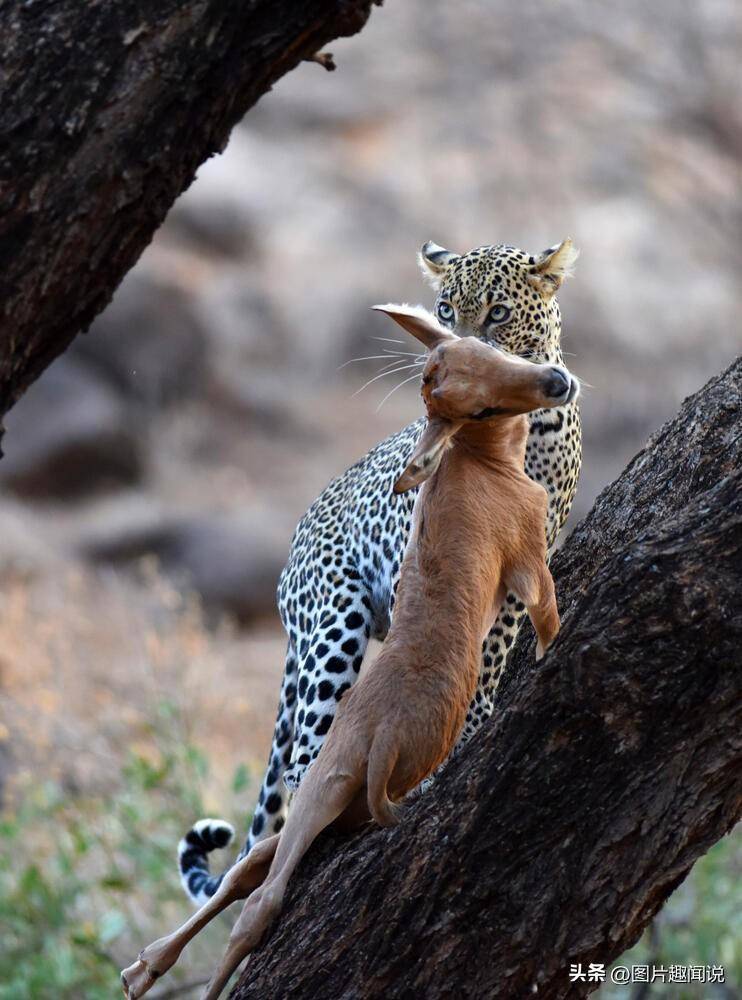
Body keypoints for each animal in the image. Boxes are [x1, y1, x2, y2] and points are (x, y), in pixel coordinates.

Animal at [179, 238, 580, 904]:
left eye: (497, 313)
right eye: (445, 309)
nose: (449, 347)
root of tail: (289, 561)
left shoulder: (528, 554)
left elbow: (495, 640)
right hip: (335, 620)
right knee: (305, 757)